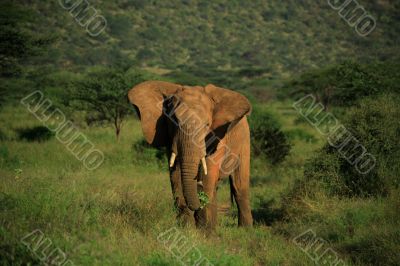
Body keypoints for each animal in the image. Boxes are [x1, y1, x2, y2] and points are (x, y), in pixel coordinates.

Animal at [128, 80, 253, 230]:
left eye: (207, 125)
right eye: (173, 122)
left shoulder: (217, 137)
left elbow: (208, 175)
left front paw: (204, 232)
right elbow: (176, 176)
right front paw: (186, 229)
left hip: (244, 138)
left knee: (239, 185)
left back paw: (245, 229)